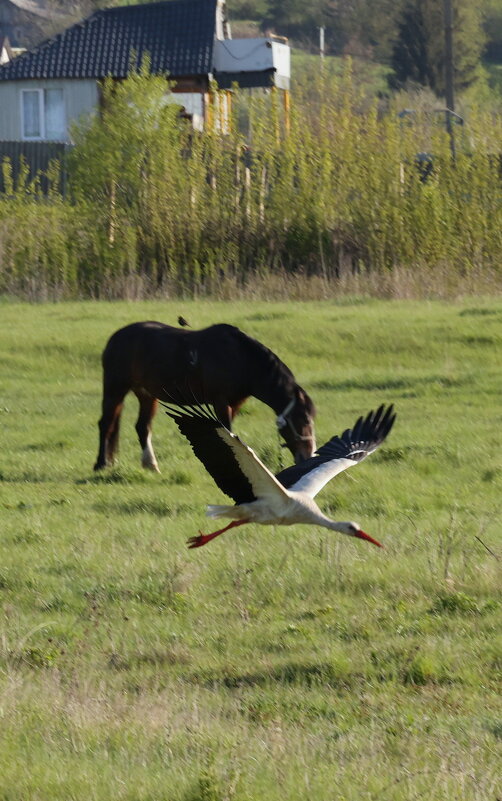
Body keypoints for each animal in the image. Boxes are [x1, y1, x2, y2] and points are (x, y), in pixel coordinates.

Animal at [93, 318, 318, 468]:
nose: (308, 455)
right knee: (106, 424)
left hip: (146, 394)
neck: (243, 360)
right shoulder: (221, 401)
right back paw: (101, 463)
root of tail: (116, 337)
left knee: (142, 426)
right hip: (115, 388)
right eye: (303, 420)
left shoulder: (235, 404)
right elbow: (227, 430)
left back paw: (150, 464)